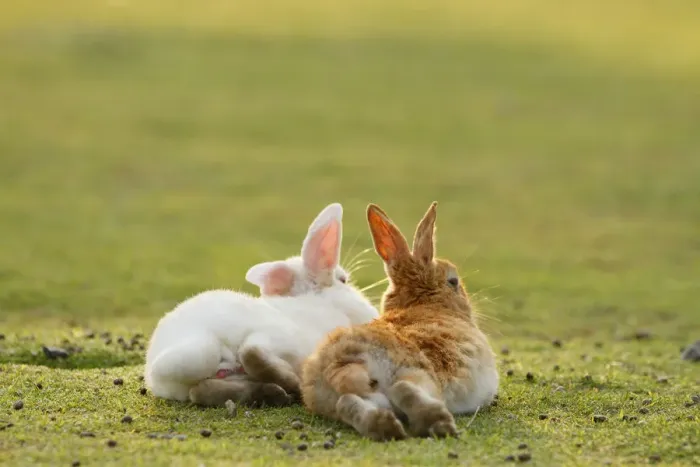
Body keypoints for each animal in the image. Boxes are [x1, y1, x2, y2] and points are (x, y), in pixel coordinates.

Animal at [144, 202, 379, 407]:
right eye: (343, 280)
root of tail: (153, 370)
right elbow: (253, 351)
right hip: (210, 348)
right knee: (244, 356)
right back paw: (286, 386)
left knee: (201, 390)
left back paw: (271, 392)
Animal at [300, 202, 499, 441]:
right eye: (453, 281)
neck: (423, 303)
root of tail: (340, 365)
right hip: (417, 372)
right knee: (402, 388)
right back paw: (437, 422)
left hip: (353, 397)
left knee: (346, 403)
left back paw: (385, 426)